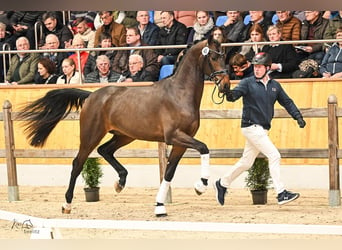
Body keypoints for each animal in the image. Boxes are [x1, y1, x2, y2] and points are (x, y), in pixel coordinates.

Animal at [18, 36, 230, 217]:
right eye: (213, 57)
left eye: (224, 56)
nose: (226, 85)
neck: (179, 94)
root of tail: (91, 96)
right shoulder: (174, 136)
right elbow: (203, 148)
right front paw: (201, 186)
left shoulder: (181, 142)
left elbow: (169, 173)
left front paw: (160, 207)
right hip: (91, 136)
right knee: (78, 163)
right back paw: (67, 205)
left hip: (124, 135)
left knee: (105, 150)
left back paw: (120, 182)